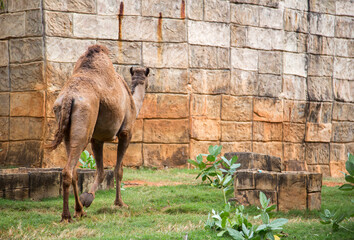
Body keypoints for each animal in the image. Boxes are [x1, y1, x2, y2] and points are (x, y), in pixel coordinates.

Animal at [46, 44, 149, 221]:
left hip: (64, 124)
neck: (133, 103)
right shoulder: (125, 132)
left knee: (73, 170)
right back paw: (67, 216)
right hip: (85, 118)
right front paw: (117, 203)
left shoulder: (97, 139)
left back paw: (79, 211)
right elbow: (118, 170)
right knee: (68, 170)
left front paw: (86, 198)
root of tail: (68, 97)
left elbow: (100, 171)